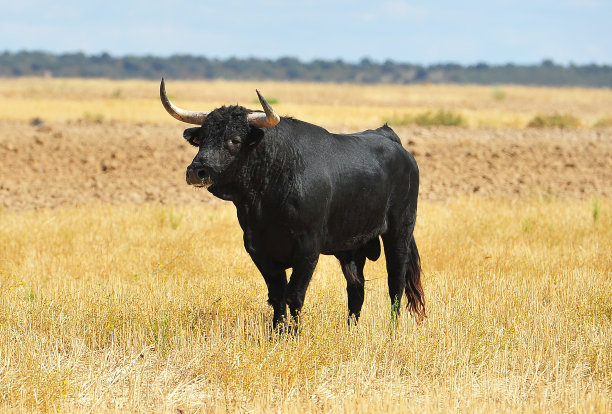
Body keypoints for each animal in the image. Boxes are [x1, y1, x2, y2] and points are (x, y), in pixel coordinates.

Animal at [160, 79, 424, 328]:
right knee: (356, 289)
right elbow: (276, 295)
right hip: (353, 246)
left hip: (399, 232)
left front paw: (293, 335)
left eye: (234, 140)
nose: (197, 171)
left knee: (395, 284)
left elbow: (294, 295)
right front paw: (277, 333)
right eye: (202, 139)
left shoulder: (308, 249)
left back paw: (392, 331)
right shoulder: (257, 248)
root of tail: (392, 140)